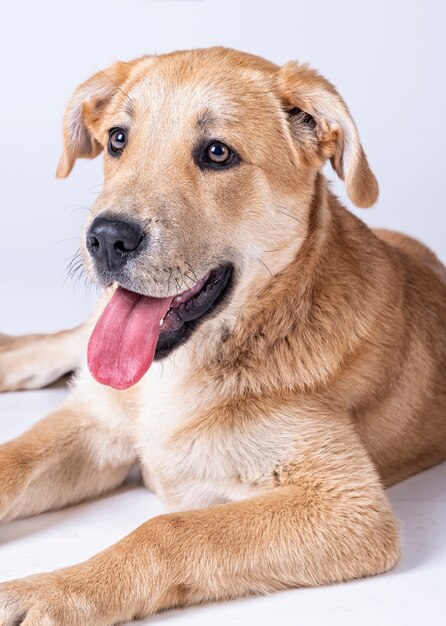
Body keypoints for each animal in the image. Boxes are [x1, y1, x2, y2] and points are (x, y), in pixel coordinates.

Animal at [0, 48, 446, 624]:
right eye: (118, 139)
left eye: (217, 153)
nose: (106, 238)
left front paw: (49, 592)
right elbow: (12, 461)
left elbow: (167, 531)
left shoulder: (349, 506)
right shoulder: (97, 425)